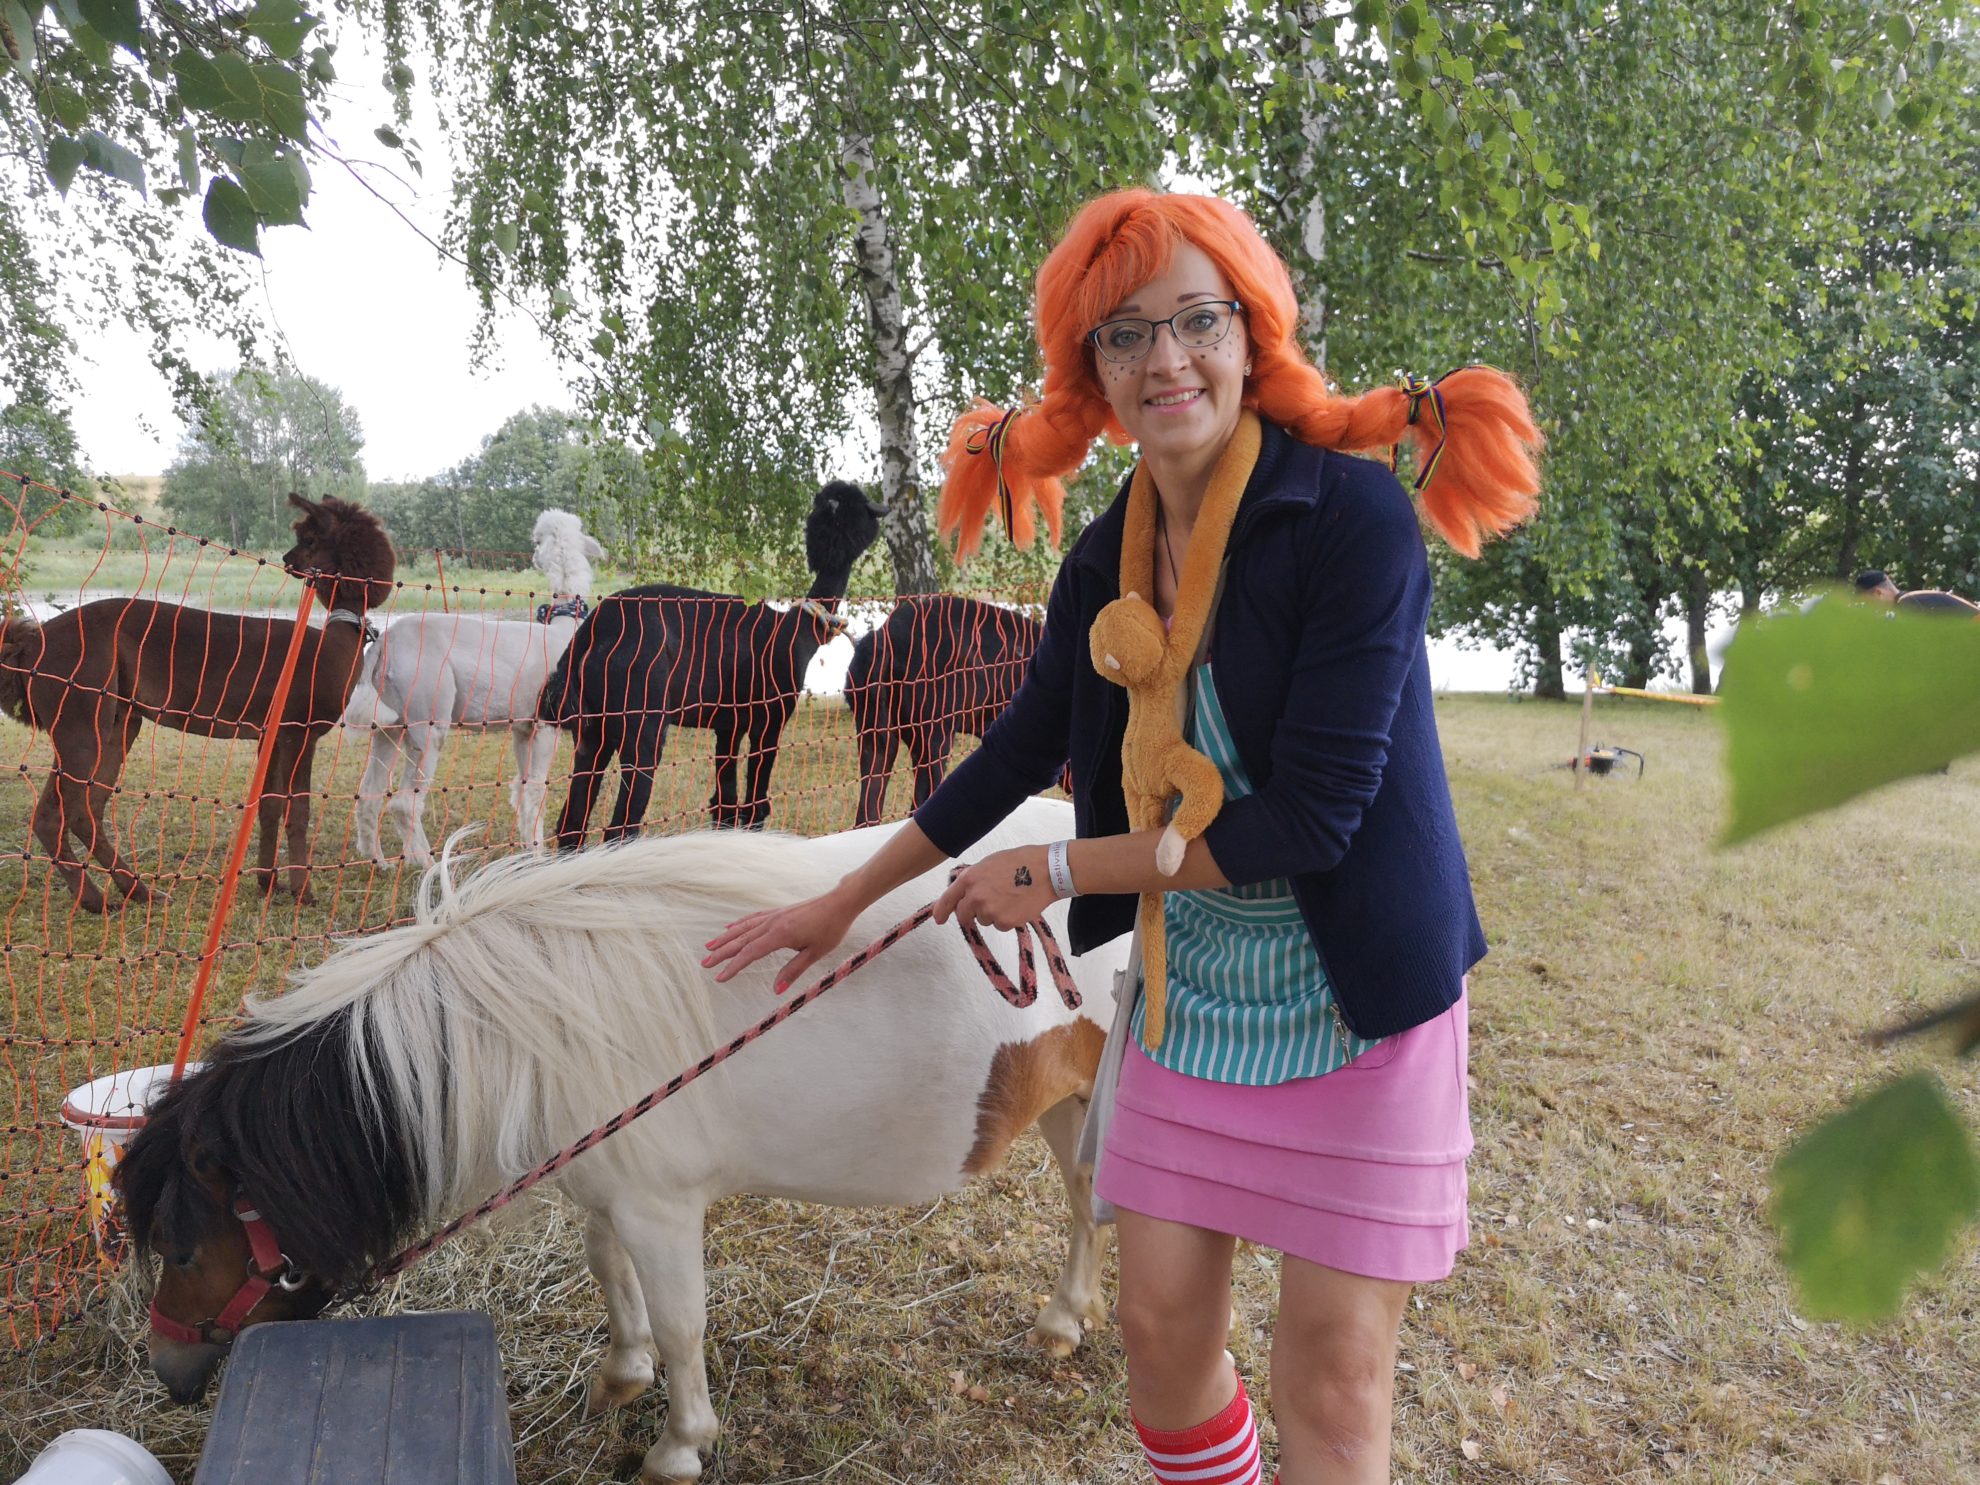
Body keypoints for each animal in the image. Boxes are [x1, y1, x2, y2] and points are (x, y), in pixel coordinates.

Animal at [0, 496, 394, 906]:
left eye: (310, 540)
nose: (287, 559)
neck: (331, 647)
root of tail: (33, 642)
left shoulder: (271, 734)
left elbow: (268, 806)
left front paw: (269, 884)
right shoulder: (297, 729)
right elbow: (297, 810)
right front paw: (303, 891)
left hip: (117, 719)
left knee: (85, 808)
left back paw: (139, 891)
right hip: (79, 716)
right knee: (57, 813)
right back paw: (96, 900)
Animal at [115, 803, 1124, 1485]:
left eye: (179, 1247)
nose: (168, 1373)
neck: (527, 1021)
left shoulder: (661, 1206)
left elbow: (683, 1324)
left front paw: (680, 1443)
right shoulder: (606, 1185)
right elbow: (609, 1270)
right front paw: (622, 1371)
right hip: (1068, 1102)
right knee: (1085, 1208)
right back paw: (1064, 1319)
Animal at [344, 510, 601, 867]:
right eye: (536, 540)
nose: (534, 556)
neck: (564, 635)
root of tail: (384, 643)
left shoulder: (523, 728)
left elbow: (521, 790)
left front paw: (528, 852)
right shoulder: (545, 725)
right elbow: (537, 791)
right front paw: (539, 857)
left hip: (391, 726)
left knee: (368, 794)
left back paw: (379, 863)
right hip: (428, 717)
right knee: (404, 803)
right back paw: (428, 866)